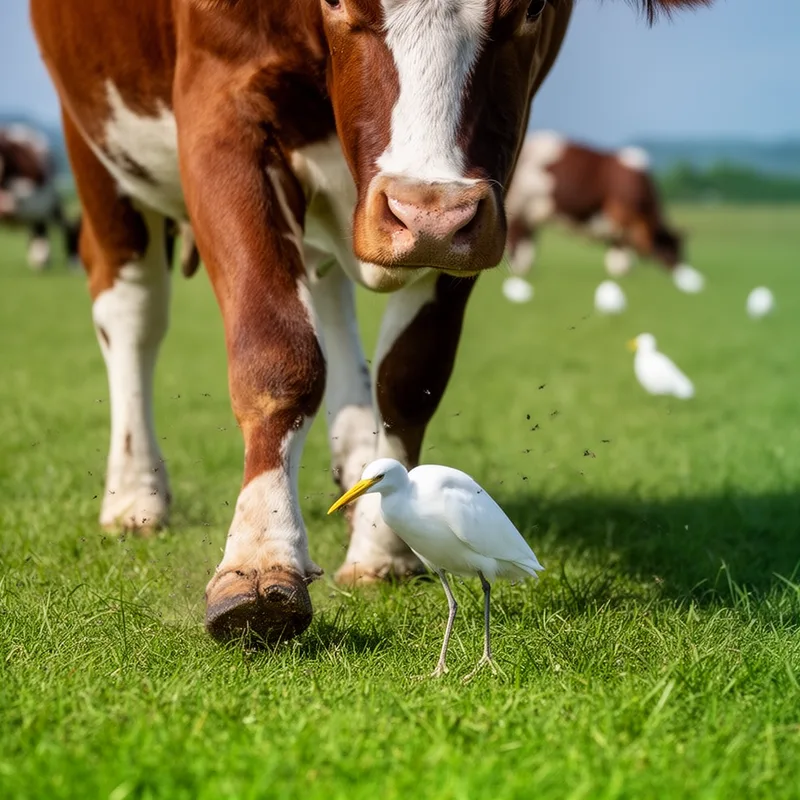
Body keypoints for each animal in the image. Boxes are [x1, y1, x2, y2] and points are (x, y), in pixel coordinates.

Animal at [503, 131, 705, 298]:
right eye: (672, 250)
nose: (682, 272)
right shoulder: (622, 219)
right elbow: (622, 258)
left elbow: (617, 257)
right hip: (519, 208)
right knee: (517, 243)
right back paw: (519, 272)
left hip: (530, 216)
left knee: (526, 244)